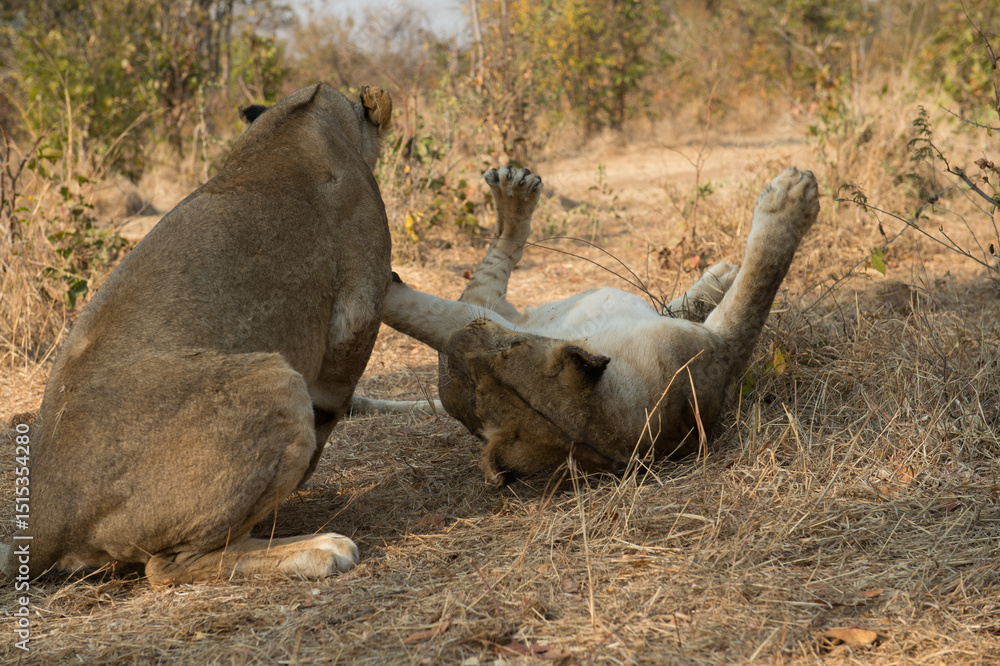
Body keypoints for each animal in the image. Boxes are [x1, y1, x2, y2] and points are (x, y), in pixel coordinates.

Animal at [1, 83, 393, 584]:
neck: (302, 114)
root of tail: (43, 526)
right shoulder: (358, 306)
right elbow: (335, 394)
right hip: (275, 382)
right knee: (168, 567)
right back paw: (319, 549)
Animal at [364, 165, 819, 485]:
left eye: (510, 348)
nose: (451, 351)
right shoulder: (718, 350)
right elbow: (757, 290)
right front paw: (790, 197)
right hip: (483, 309)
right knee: (467, 293)